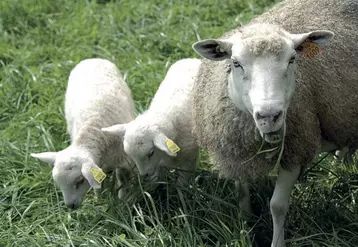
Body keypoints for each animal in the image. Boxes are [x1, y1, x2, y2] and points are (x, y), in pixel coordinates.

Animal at [30, 58, 136, 209]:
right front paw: (99, 199)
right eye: (58, 183)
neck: (94, 128)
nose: (70, 206)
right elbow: (99, 181)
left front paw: (123, 199)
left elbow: (123, 179)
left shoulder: (125, 159)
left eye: (80, 180)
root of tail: (92, 59)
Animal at [192, 0, 358, 246]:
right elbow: (241, 193)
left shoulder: (296, 148)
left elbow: (277, 206)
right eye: (235, 63)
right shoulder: (236, 151)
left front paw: (276, 241)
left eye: (292, 60)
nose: (269, 116)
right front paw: (246, 225)